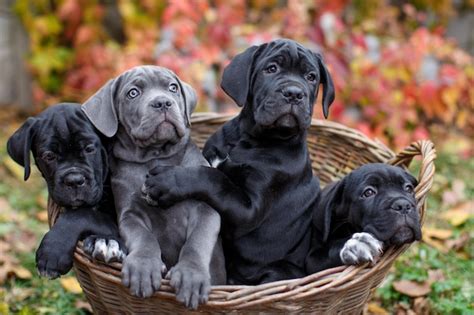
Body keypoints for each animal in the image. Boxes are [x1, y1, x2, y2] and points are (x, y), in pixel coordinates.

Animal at [82, 65, 226, 310]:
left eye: (173, 87)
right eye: (133, 93)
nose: (162, 102)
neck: (155, 155)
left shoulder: (206, 210)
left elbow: (197, 241)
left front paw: (191, 275)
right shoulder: (130, 214)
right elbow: (144, 237)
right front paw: (143, 267)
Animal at [143, 38, 336, 286]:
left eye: (311, 77)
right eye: (271, 69)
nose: (294, 93)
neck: (251, 139)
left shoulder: (248, 210)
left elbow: (214, 178)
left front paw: (166, 180)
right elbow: (211, 171)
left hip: (278, 272)